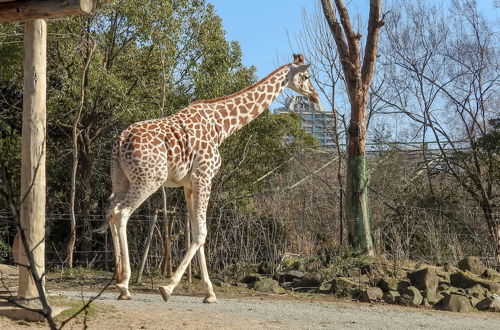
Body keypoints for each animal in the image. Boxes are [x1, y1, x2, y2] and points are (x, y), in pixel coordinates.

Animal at [107, 53, 320, 302]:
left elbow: (196, 231)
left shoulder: (189, 185)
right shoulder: (204, 177)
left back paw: (118, 279)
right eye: (306, 76)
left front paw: (209, 293)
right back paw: (125, 284)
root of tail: (121, 140)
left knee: (111, 210)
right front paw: (168, 288)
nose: (314, 95)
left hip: (121, 179)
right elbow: (201, 234)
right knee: (122, 213)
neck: (222, 126)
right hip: (149, 180)